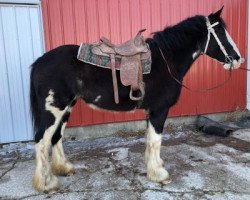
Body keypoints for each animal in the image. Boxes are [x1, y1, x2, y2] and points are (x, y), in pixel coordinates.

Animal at [29, 7, 242, 192]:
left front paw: (153, 166)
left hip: (67, 108)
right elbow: (156, 141)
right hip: (54, 109)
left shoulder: (151, 112)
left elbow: (149, 140)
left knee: (56, 137)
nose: (238, 59)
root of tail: (39, 61)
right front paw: (159, 174)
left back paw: (63, 168)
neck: (166, 61)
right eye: (220, 32)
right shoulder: (159, 110)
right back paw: (46, 184)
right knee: (42, 141)